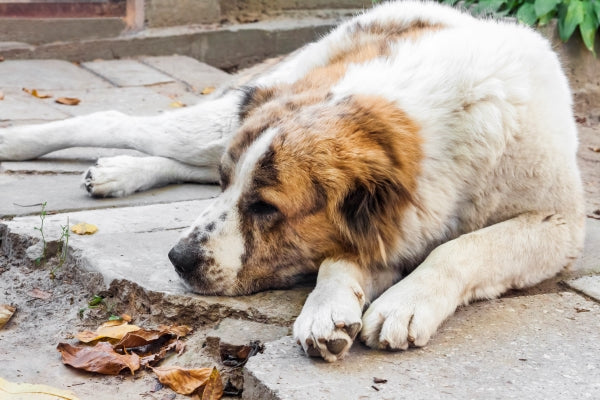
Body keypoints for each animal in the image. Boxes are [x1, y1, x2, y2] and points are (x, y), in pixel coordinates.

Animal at [0, 0, 580, 362]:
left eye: (265, 207)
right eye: (231, 188)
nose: (177, 259)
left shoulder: (559, 224)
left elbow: (462, 247)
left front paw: (402, 301)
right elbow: (341, 255)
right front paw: (328, 307)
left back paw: (119, 171)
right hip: (228, 114)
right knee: (121, 121)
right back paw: (31, 146)